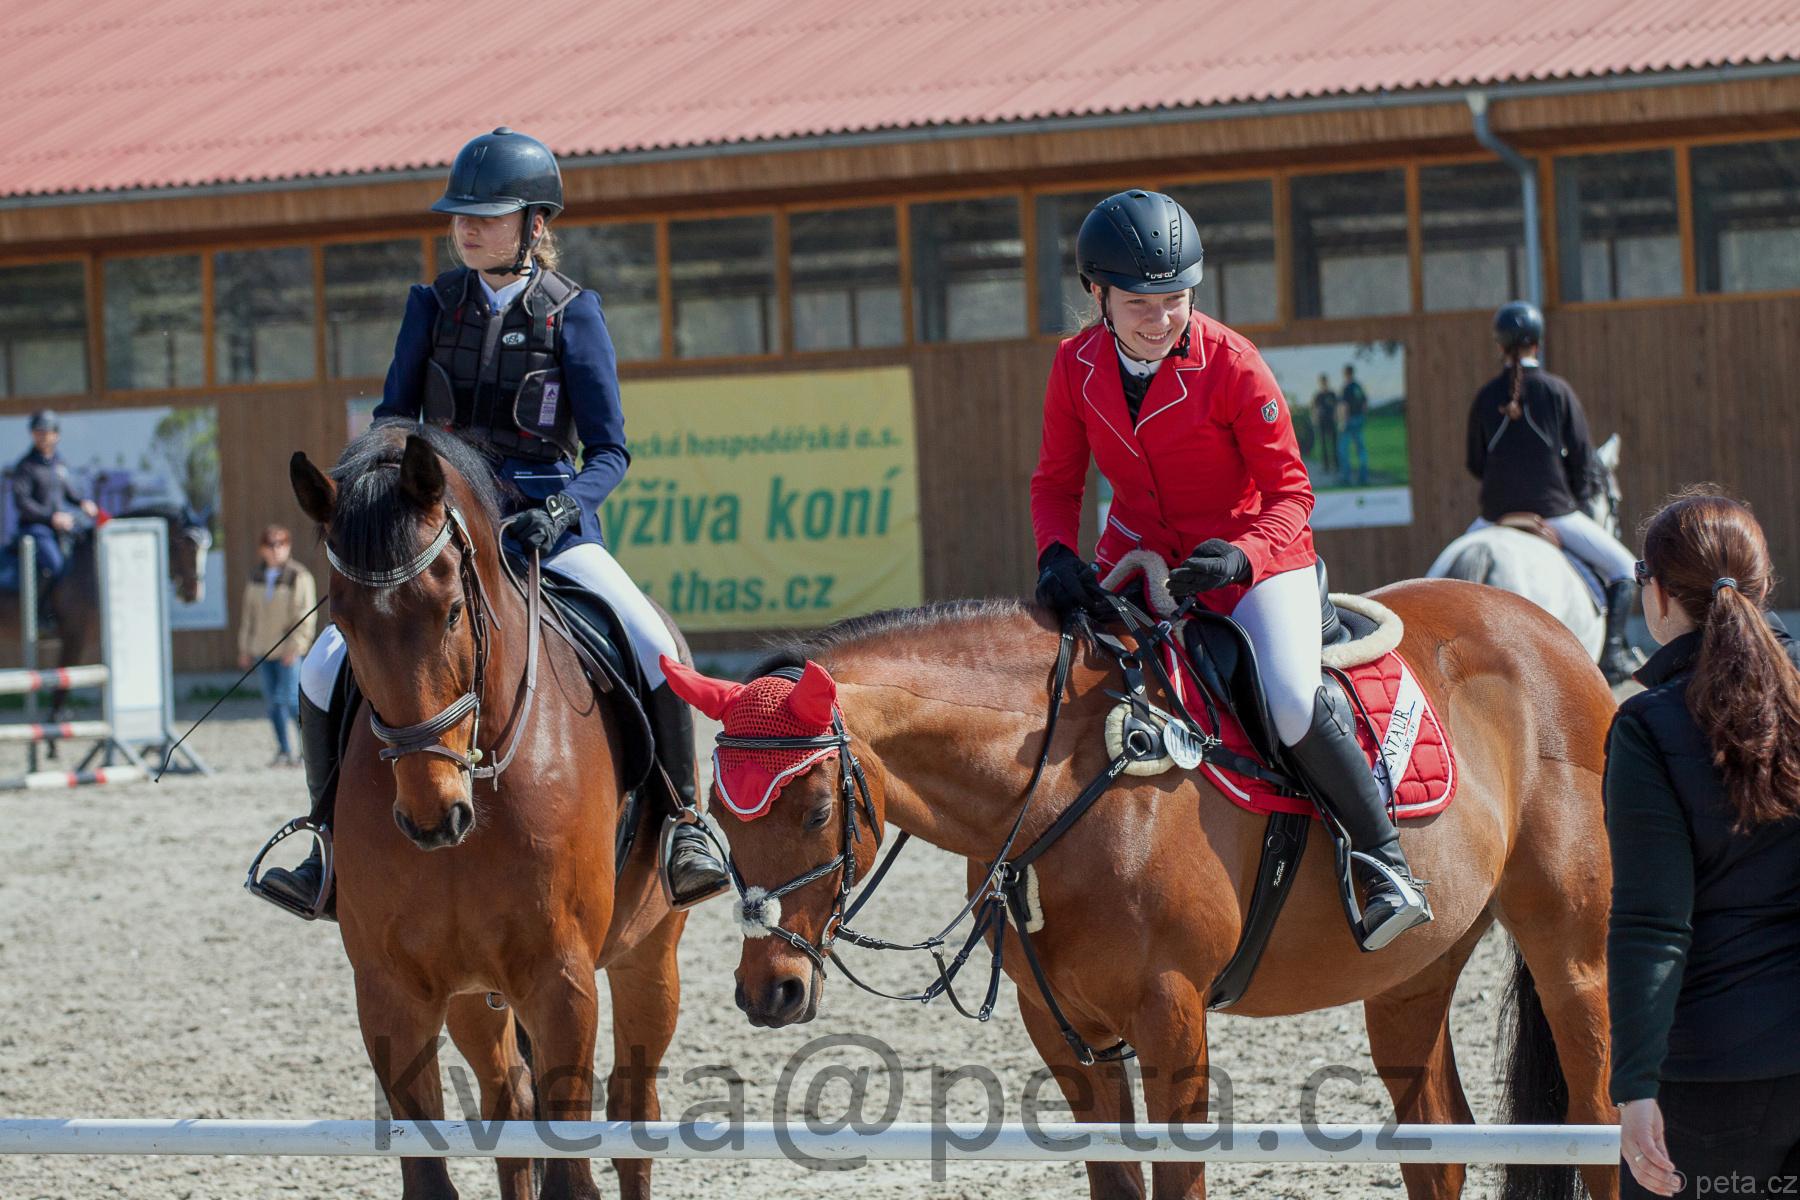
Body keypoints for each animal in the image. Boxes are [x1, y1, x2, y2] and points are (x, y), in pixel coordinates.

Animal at [290, 424, 687, 1200]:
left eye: (450, 609)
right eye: (343, 622)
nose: (431, 817)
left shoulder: (561, 982)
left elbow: (573, 1170)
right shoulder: (392, 991)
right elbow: (433, 1174)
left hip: (648, 955)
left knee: (633, 1116)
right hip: (476, 995)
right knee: (512, 1108)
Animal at [699, 583, 1617, 1200]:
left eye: (819, 809)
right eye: (714, 810)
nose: (769, 991)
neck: (1061, 777)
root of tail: (1547, 629)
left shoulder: (1172, 1019)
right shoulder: (1066, 1033)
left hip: (1573, 957)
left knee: (1600, 1120)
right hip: (1408, 980)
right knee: (1443, 1142)